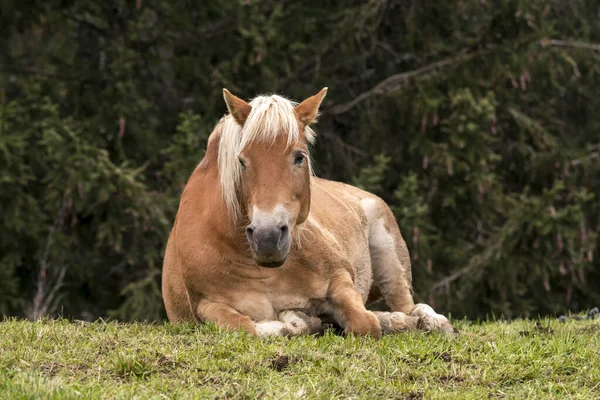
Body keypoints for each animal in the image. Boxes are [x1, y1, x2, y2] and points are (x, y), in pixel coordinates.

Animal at [162, 88, 452, 338]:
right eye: (242, 161)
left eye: (299, 156)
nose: (267, 238)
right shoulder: (206, 305)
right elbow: (245, 327)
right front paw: (295, 321)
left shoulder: (339, 280)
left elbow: (364, 323)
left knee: (410, 307)